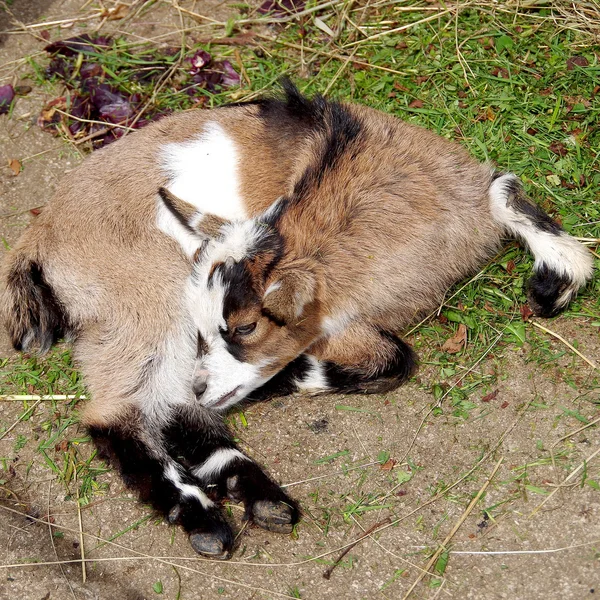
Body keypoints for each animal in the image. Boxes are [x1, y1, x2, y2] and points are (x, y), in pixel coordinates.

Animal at [2, 82, 592, 560]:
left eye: (245, 327)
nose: (204, 383)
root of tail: (40, 235)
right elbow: (394, 358)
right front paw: (292, 378)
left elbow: (503, 190)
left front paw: (556, 277)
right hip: (144, 297)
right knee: (120, 409)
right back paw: (204, 517)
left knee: (168, 405)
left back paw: (254, 494)